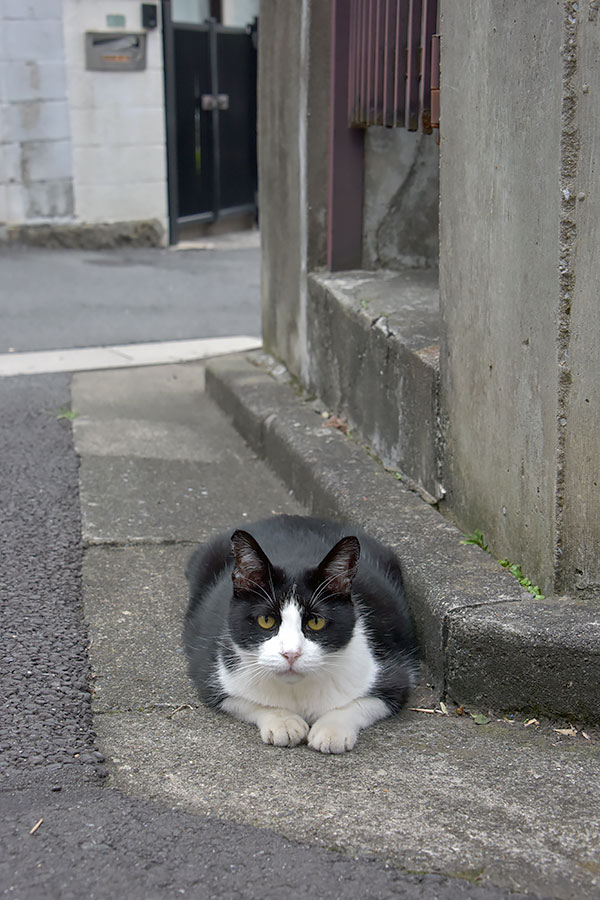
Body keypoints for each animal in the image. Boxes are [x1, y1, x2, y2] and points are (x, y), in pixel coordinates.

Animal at [183, 512, 418, 752]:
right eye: (266, 620)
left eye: (315, 622)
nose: (291, 654)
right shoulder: (211, 673)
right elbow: (247, 701)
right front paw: (283, 722)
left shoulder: (394, 676)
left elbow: (364, 702)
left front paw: (331, 729)